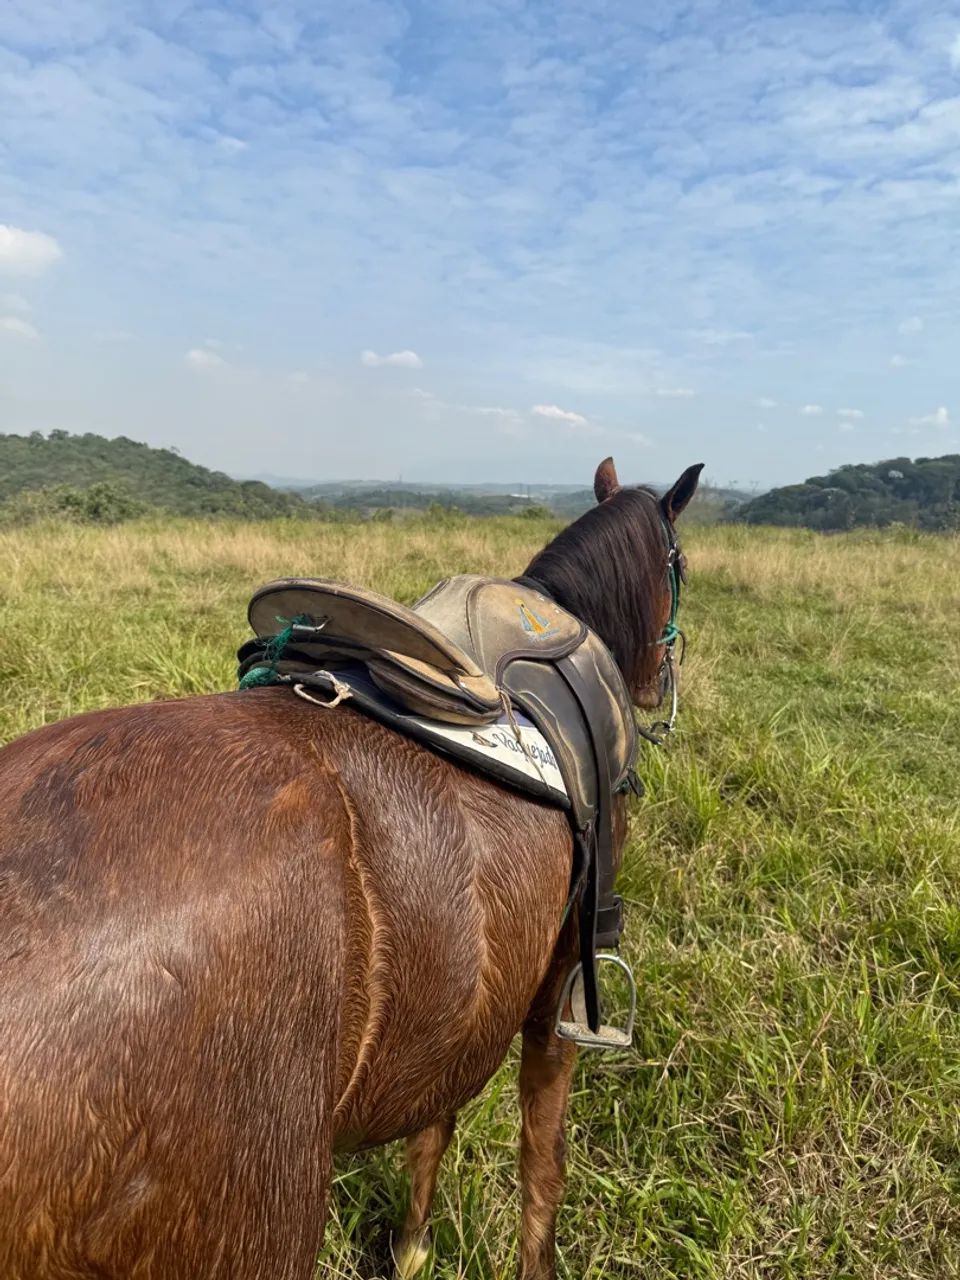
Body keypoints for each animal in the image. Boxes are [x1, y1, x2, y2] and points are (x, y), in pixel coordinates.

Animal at [0, 456, 702, 1280]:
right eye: (679, 563)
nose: (660, 683)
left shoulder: (466, 995)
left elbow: (436, 1122)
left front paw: (411, 1247)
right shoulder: (559, 981)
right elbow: (543, 1153)